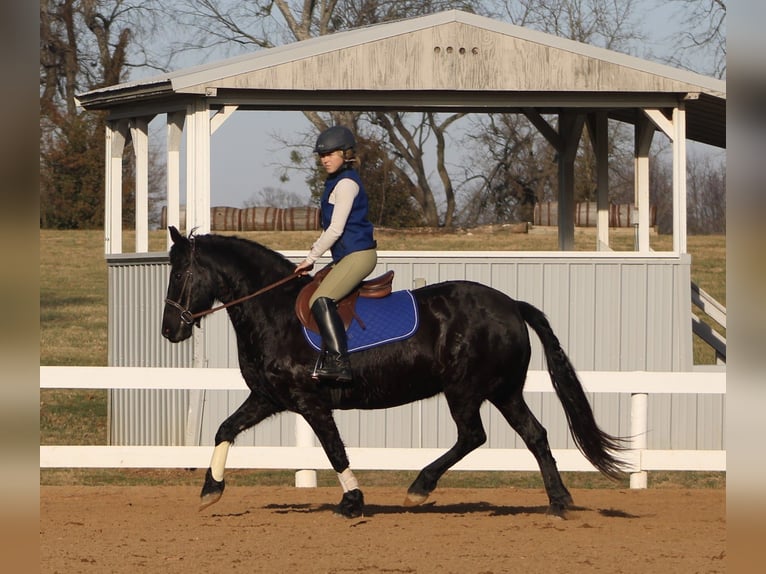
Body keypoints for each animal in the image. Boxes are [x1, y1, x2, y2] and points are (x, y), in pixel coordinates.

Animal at [161, 226, 626, 518]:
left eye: (181, 273)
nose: (170, 331)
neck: (272, 311)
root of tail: (512, 305)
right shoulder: (268, 398)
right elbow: (224, 428)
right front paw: (210, 491)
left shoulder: (311, 403)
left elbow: (335, 450)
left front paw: (352, 502)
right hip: (504, 391)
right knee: (535, 436)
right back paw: (559, 502)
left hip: (465, 390)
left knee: (473, 436)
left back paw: (420, 488)